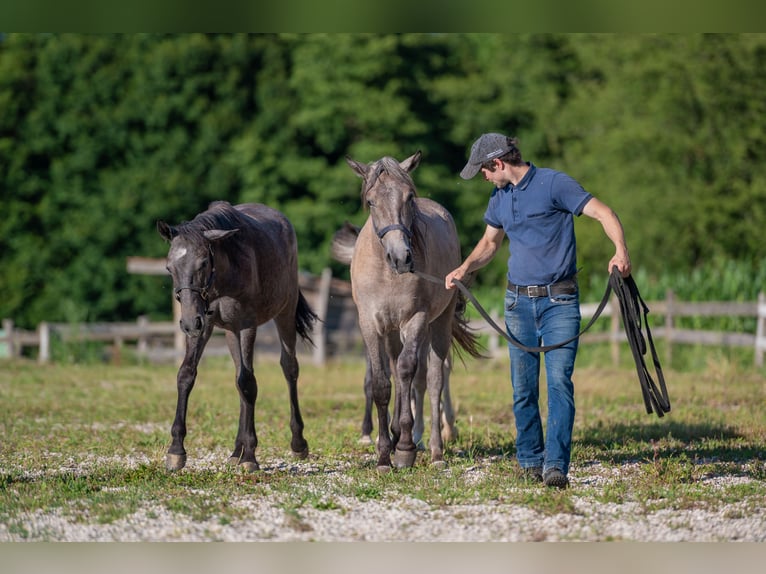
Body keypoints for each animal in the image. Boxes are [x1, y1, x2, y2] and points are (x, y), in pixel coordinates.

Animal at [158, 202, 316, 472]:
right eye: (170, 268)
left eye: (203, 263)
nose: (187, 323)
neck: (224, 275)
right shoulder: (205, 324)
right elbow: (187, 374)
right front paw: (176, 450)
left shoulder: (246, 325)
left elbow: (249, 383)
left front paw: (251, 455)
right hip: (230, 332)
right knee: (239, 376)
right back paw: (236, 451)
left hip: (284, 312)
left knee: (289, 368)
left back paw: (297, 443)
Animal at [340, 152, 484, 472]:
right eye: (371, 201)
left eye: (409, 197)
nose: (401, 257)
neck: (386, 272)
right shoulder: (370, 324)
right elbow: (382, 383)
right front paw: (384, 454)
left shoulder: (415, 320)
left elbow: (408, 371)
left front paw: (405, 448)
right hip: (394, 332)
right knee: (401, 372)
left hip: (437, 324)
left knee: (433, 379)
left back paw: (435, 450)